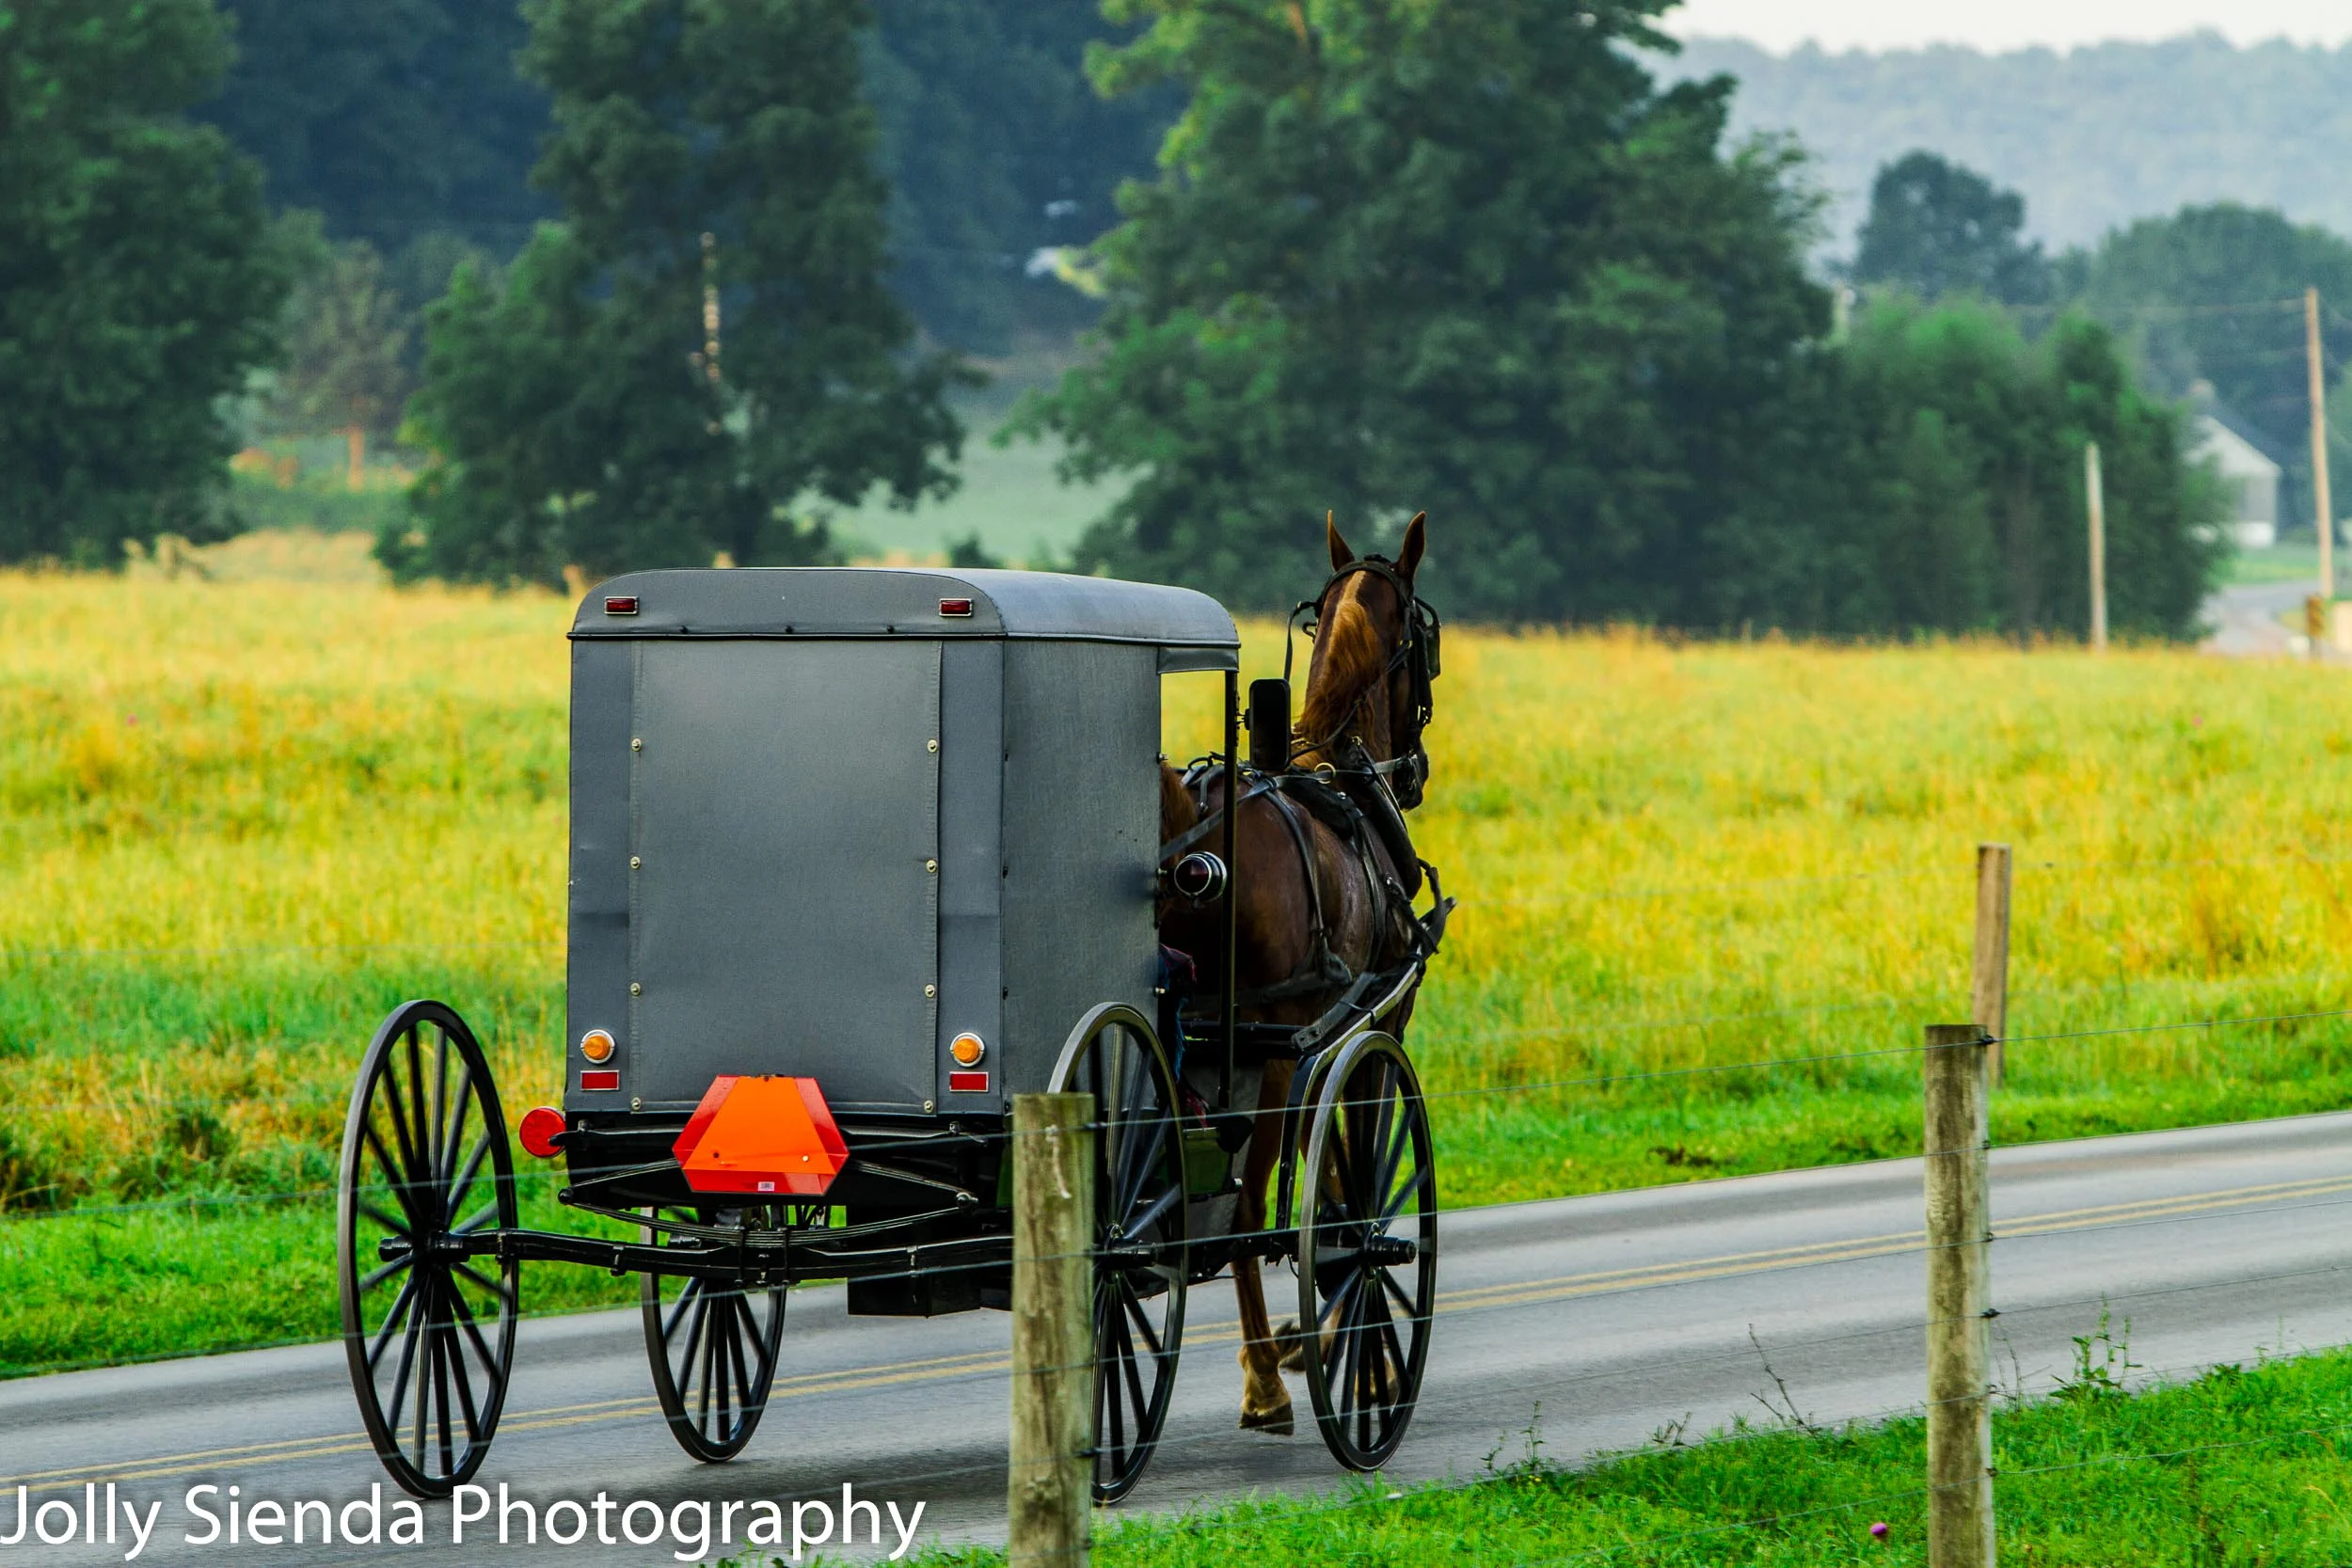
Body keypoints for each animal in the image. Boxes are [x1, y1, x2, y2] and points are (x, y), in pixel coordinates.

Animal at [1158, 509, 1442, 1435]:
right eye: (1428, 638)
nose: (1414, 772)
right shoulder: (1376, 1021)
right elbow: (1349, 1177)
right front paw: (1361, 1361)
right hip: (1271, 1053)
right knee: (1247, 1208)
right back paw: (1267, 1382)